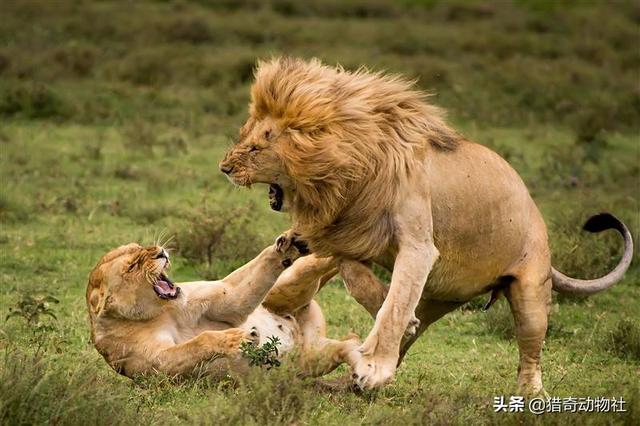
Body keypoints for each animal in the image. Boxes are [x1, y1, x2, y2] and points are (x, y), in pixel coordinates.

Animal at [86, 233, 360, 380]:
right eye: (132, 266)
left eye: (139, 247)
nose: (160, 252)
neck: (155, 314)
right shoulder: (159, 365)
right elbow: (198, 343)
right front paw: (239, 339)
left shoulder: (225, 302)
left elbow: (234, 295)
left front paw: (287, 246)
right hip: (312, 358)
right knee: (348, 346)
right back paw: (362, 372)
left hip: (289, 283)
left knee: (321, 261)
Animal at [219, 57, 632, 392]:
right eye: (244, 135)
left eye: (255, 148)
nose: (224, 168)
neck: (352, 166)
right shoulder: (353, 235)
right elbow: (367, 285)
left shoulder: (418, 245)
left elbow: (394, 305)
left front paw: (375, 366)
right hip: (440, 296)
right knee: (410, 329)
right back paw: (354, 375)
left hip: (530, 291)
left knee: (530, 350)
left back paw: (530, 393)